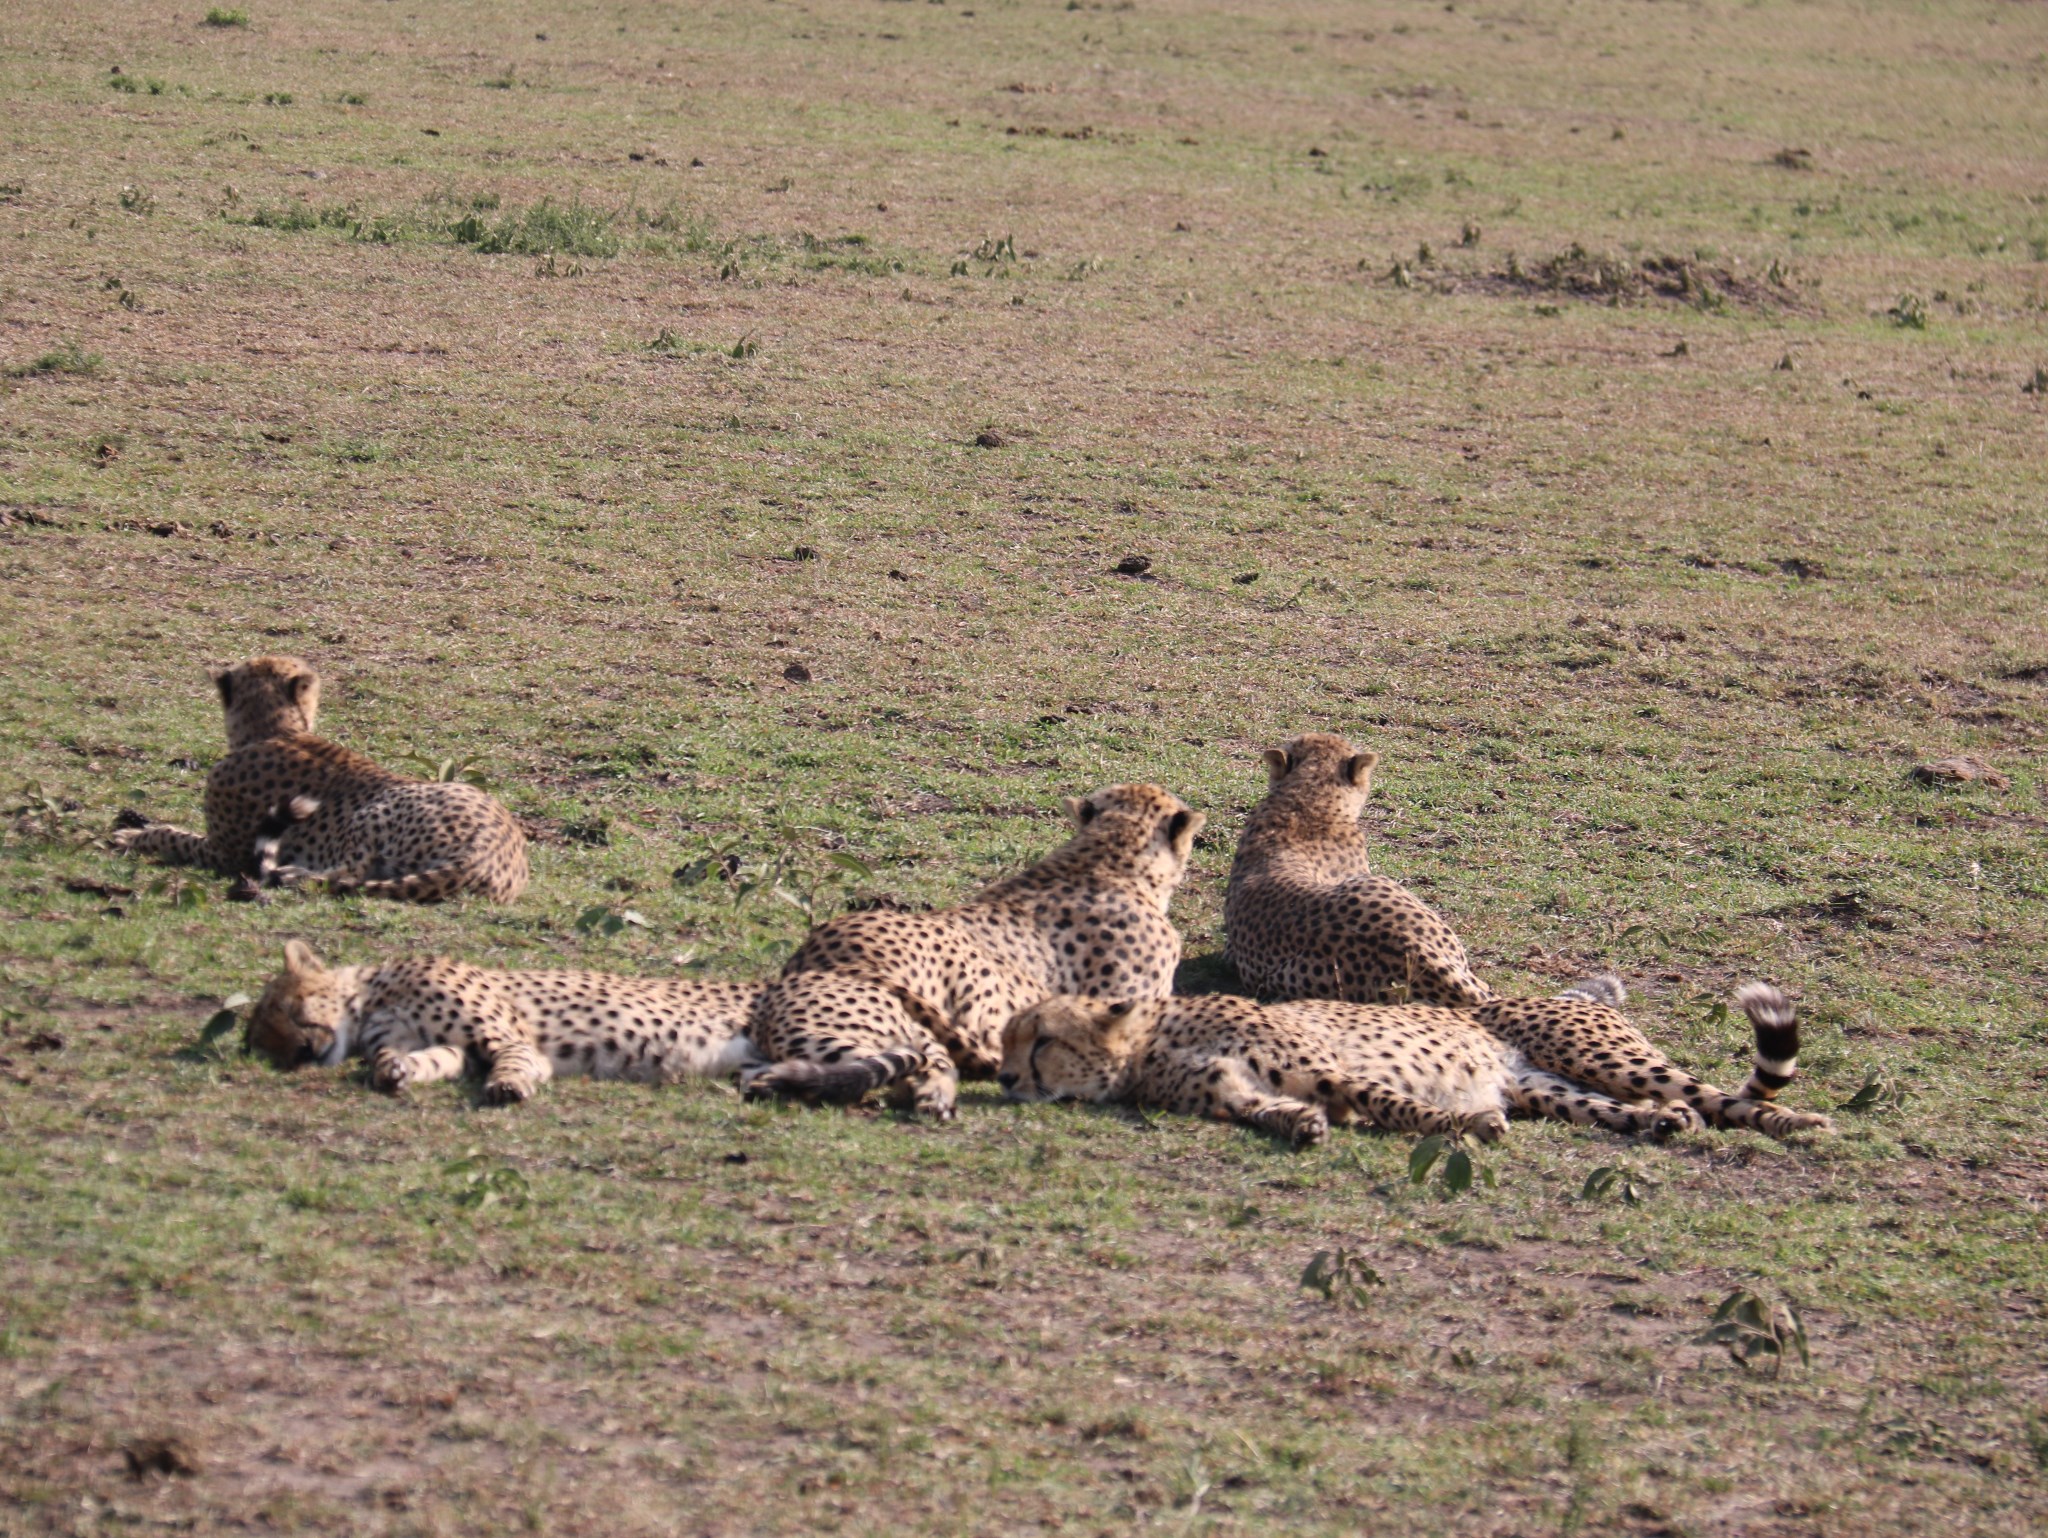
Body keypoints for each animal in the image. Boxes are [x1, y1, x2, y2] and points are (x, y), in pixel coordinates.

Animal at [113, 659, 532, 901]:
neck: (276, 729)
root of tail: (487, 852)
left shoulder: (226, 852)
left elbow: (175, 837)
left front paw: (131, 835)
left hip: (375, 811)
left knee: (348, 873)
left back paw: (292, 874)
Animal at [251, 933, 765, 1097]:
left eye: (292, 1010)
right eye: (269, 1046)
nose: (303, 1052)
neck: (373, 999)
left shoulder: (509, 1040)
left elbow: (517, 1059)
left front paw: (508, 1085)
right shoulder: (455, 1051)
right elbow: (430, 1059)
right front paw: (392, 1070)